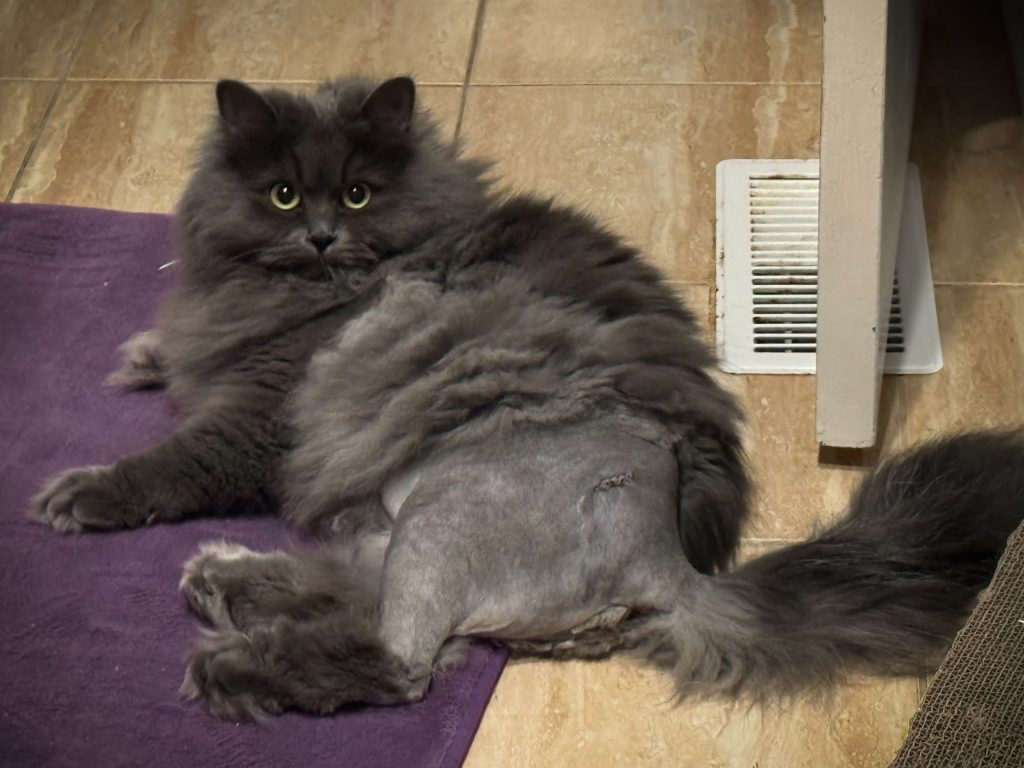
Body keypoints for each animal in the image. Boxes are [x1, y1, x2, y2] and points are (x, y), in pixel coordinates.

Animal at [29, 78, 1024, 720]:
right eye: (280, 195)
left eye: (354, 194)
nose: (317, 238)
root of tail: (675, 565)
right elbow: (177, 355)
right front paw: (147, 355)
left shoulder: (267, 413)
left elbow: (172, 461)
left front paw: (81, 494)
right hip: (397, 522)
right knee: (351, 600)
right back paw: (223, 582)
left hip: (440, 510)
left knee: (401, 660)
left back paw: (227, 662)